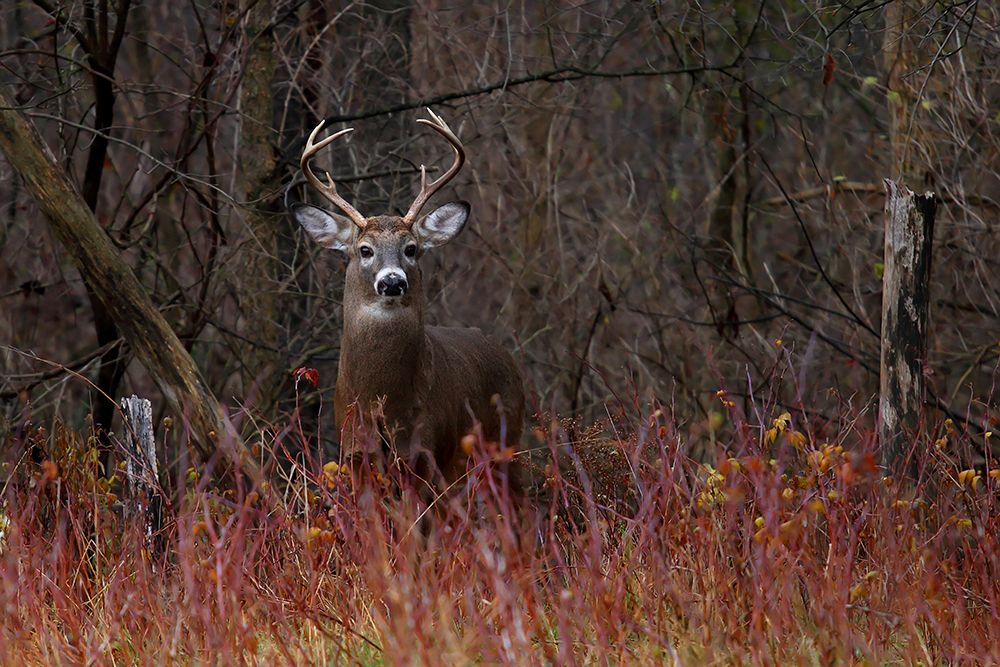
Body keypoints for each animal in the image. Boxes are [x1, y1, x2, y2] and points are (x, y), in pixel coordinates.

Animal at [288, 110, 526, 490]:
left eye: (411, 249)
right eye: (364, 249)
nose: (392, 281)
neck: (381, 398)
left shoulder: (427, 449)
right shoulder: (353, 450)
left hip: (505, 442)